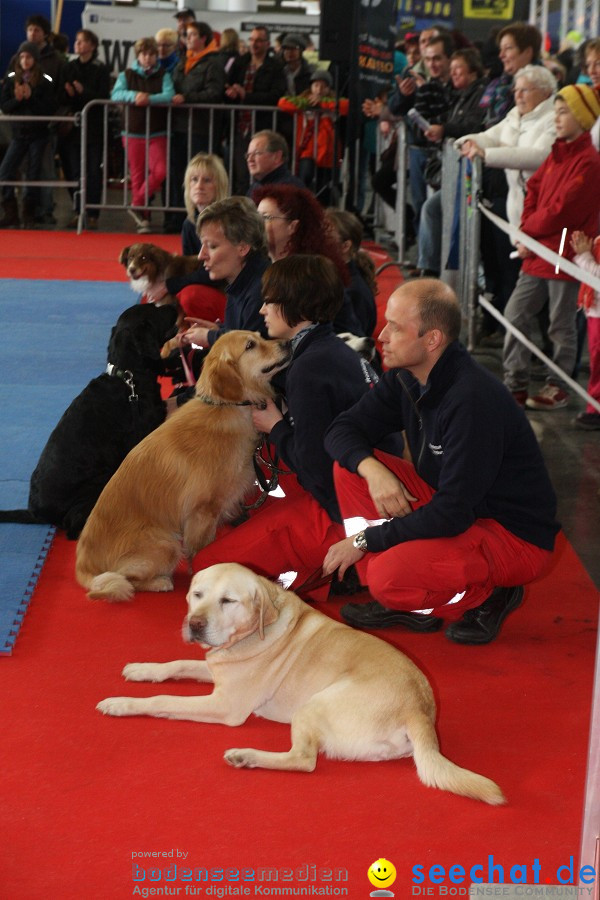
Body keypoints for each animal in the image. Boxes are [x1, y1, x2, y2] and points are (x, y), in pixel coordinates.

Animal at [0, 302, 178, 540]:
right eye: (154, 309)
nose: (175, 305)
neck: (129, 378)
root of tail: (35, 512)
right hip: (97, 482)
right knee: (73, 527)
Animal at [76, 330, 292, 596]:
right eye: (250, 345)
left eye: (261, 335)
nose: (288, 342)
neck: (228, 408)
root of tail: (84, 565)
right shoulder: (202, 511)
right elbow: (200, 551)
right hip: (166, 543)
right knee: (126, 581)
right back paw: (160, 582)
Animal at [97, 560, 506, 804]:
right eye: (197, 594)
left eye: (228, 600)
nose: (194, 625)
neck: (251, 631)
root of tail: (419, 710)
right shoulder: (214, 669)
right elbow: (176, 663)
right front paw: (141, 669)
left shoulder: (225, 705)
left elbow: (162, 700)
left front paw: (121, 703)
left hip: (313, 705)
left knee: (305, 761)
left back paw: (247, 756)